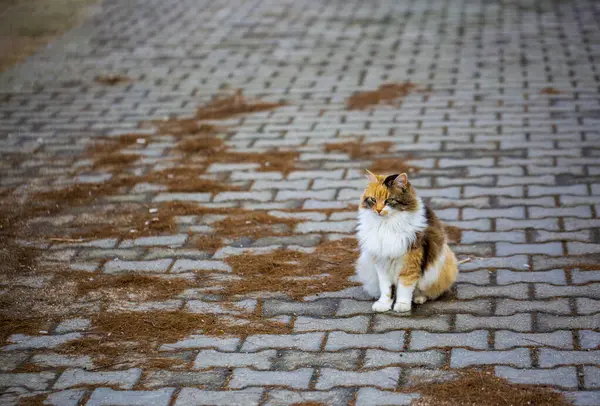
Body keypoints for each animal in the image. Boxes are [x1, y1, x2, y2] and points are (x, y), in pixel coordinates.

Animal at [354, 170, 458, 312]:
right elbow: (386, 288)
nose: (379, 210)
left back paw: (418, 299)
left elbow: (405, 286)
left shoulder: (410, 262)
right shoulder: (382, 263)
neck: (387, 225)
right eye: (373, 200)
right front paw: (384, 304)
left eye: (389, 200)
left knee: (425, 292)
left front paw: (402, 305)